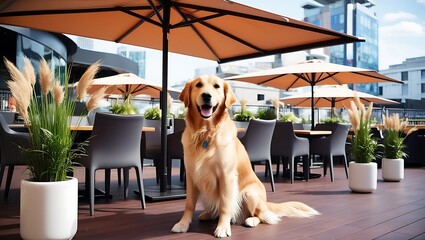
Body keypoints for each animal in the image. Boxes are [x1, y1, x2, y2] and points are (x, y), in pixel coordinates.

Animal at [171, 76, 316, 237]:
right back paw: (208, 214)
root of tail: (266, 203)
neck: (205, 134)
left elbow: (225, 205)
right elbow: (189, 204)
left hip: (250, 193)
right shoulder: (191, 175)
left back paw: (250, 220)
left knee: (263, 216)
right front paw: (182, 224)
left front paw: (223, 228)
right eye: (198, 85)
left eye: (216, 86)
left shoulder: (226, 176)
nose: (206, 95)